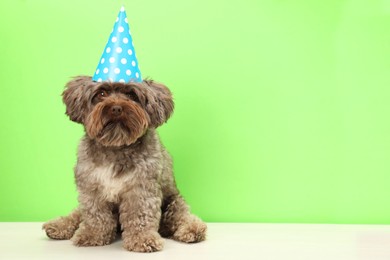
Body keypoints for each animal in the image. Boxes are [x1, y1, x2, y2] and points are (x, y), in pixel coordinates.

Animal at [42, 76, 207, 253]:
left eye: (131, 94)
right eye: (101, 93)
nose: (116, 108)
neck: (116, 146)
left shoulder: (140, 189)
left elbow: (140, 215)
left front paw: (142, 239)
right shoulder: (91, 188)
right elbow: (95, 215)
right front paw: (93, 235)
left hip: (174, 202)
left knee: (181, 216)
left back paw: (192, 229)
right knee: (77, 214)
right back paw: (58, 226)